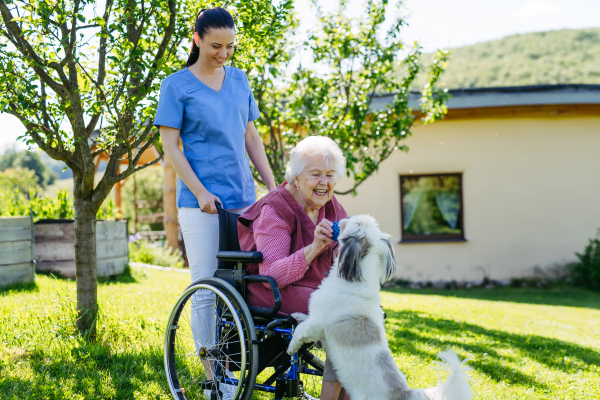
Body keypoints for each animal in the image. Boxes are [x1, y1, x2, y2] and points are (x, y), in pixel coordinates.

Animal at [288, 216, 474, 400]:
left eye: (353, 221)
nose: (344, 218)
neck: (356, 282)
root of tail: (404, 393)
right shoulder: (315, 319)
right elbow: (304, 318)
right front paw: (296, 315)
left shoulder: (317, 322)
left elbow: (300, 332)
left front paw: (291, 349)